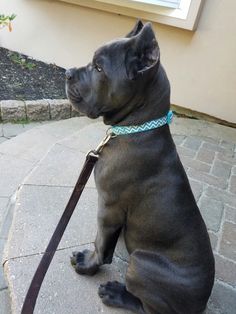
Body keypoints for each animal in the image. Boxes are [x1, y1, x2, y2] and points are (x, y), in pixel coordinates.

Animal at [65, 20, 215, 312]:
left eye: (99, 68)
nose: (67, 73)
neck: (136, 127)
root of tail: (201, 302)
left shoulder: (108, 207)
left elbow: (100, 243)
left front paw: (88, 264)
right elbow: (108, 244)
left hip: (141, 263)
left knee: (147, 307)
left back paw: (115, 294)